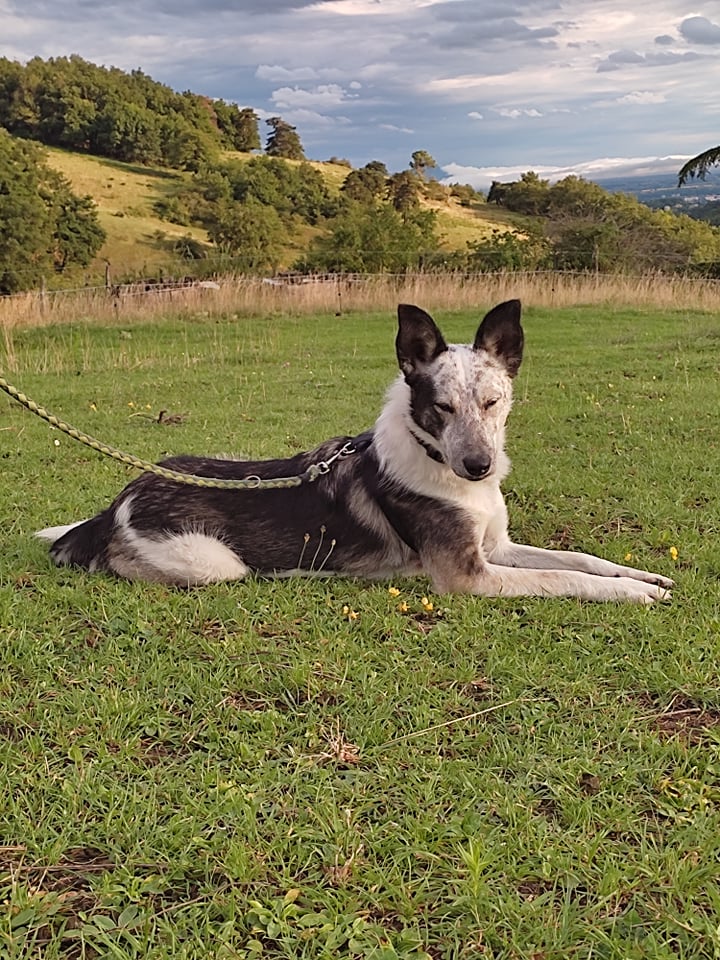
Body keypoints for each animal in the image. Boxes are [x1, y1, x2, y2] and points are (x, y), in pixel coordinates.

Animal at [35, 300, 676, 604]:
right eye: (441, 407)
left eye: (493, 402)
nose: (480, 467)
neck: (442, 468)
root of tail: (116, 504)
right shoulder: (468, 575)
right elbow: (565, 578)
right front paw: (632, 595)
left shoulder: (497, 548)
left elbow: (581, 560)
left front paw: (641, 576)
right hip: (214, 564)